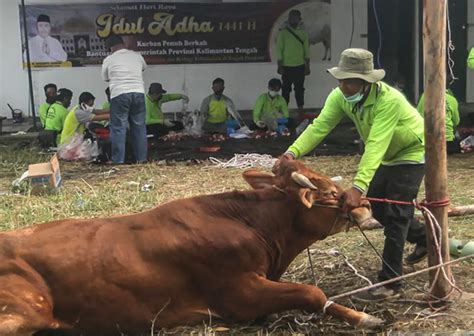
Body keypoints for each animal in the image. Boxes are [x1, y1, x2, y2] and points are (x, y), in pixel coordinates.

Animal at [0, 159, 384, 334]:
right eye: (329, 192)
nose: (365, 203)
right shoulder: (240, 293)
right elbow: (312, 293)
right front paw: (365, 318)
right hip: (26, 311)